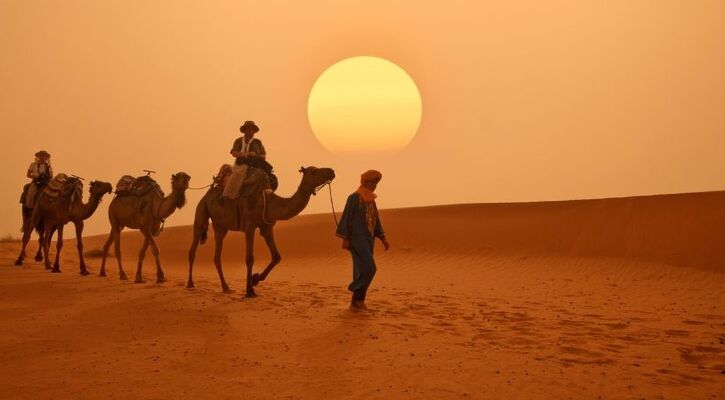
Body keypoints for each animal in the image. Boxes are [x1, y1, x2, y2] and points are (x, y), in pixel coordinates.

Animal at [187, 165, 334, 296]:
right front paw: (249, 291)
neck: (269, 202)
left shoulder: (267, 228)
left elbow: (276, 256)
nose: (331, 171)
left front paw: (255, 279)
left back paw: (226, 287)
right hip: (201, 211)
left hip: (220, 226)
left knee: (217, 256)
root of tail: (208, 193)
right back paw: (190, 283)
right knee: (193, 248)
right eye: (314, 171)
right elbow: (249, 258)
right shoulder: (249, 227)